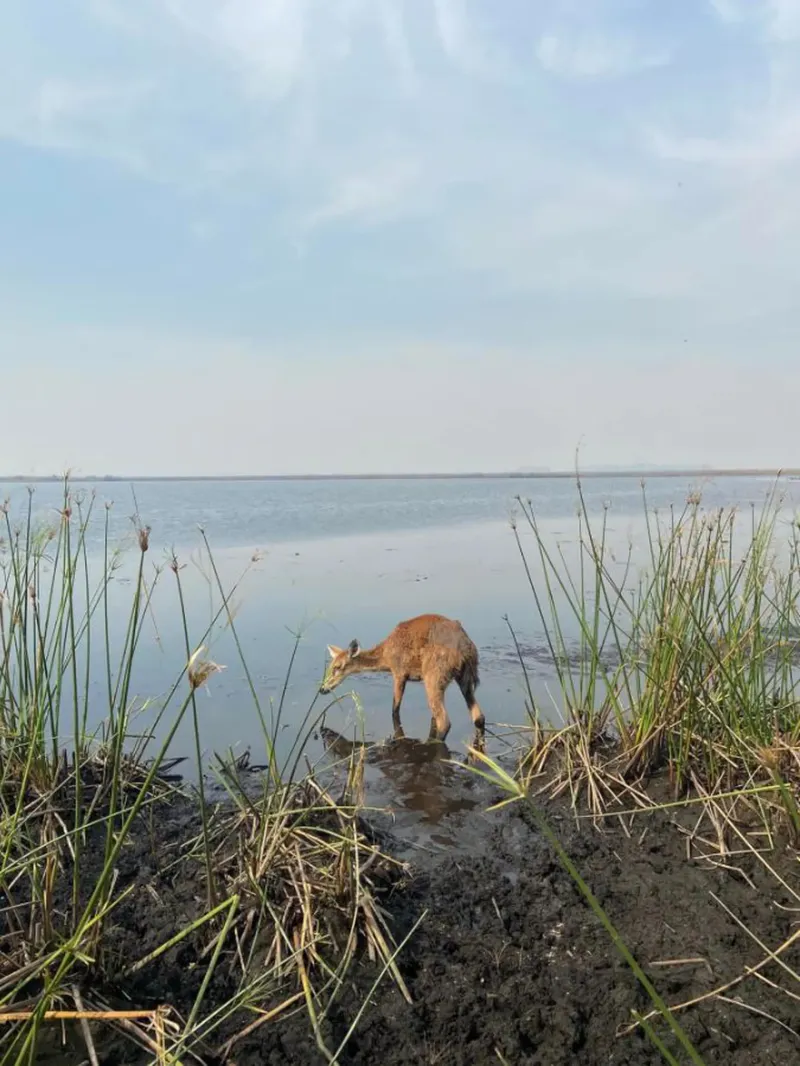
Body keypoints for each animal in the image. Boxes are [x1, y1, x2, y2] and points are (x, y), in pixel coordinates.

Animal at [317, 614, 482, 746]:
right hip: (465, 677)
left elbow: (394, 709)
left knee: (445, 721)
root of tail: (465, 648)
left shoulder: (399, 672)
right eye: (330, 666)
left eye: (338, 667)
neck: (385, 657)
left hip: (434, 676)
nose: (322, 689)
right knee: (478, 716)